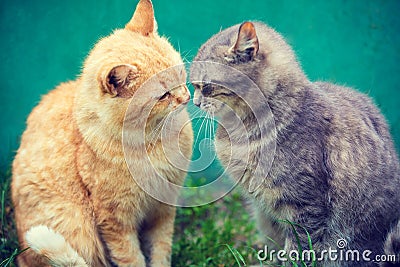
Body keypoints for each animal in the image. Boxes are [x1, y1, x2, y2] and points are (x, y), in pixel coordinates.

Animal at [11, 1, 193, 266]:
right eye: (163, 96)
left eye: (179, 73)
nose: (186, 97)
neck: (154, 141)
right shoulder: (115, 221)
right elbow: (131, 257)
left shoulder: (162, 209)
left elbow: (160, 249)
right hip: (77, 225)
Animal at [190, 22, 400, 266]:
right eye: (194, 86)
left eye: (205, 86)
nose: (194, 102)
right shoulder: (268, 213)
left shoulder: (305, 207)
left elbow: (298, 250)